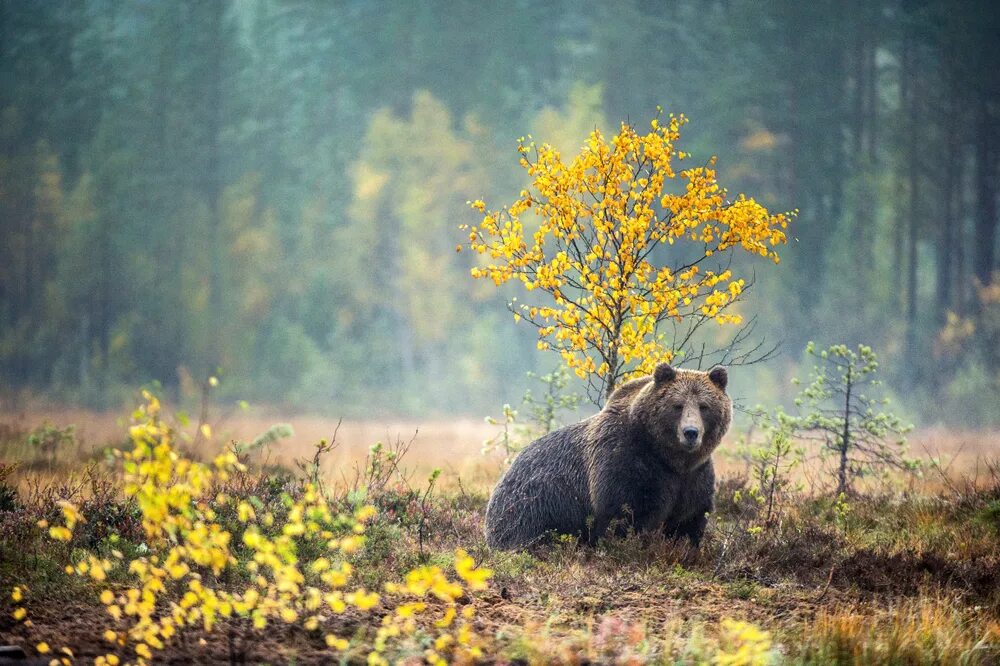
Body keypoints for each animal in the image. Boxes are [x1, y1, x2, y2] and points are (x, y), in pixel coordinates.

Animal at [486, 364, 736, 548]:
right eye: (677, 405)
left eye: (704, 406)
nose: (691, 432)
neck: (668, 457)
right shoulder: (624, 461)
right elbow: (623, 513)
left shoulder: (694, 476)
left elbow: (688, 519)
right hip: (532, 506)